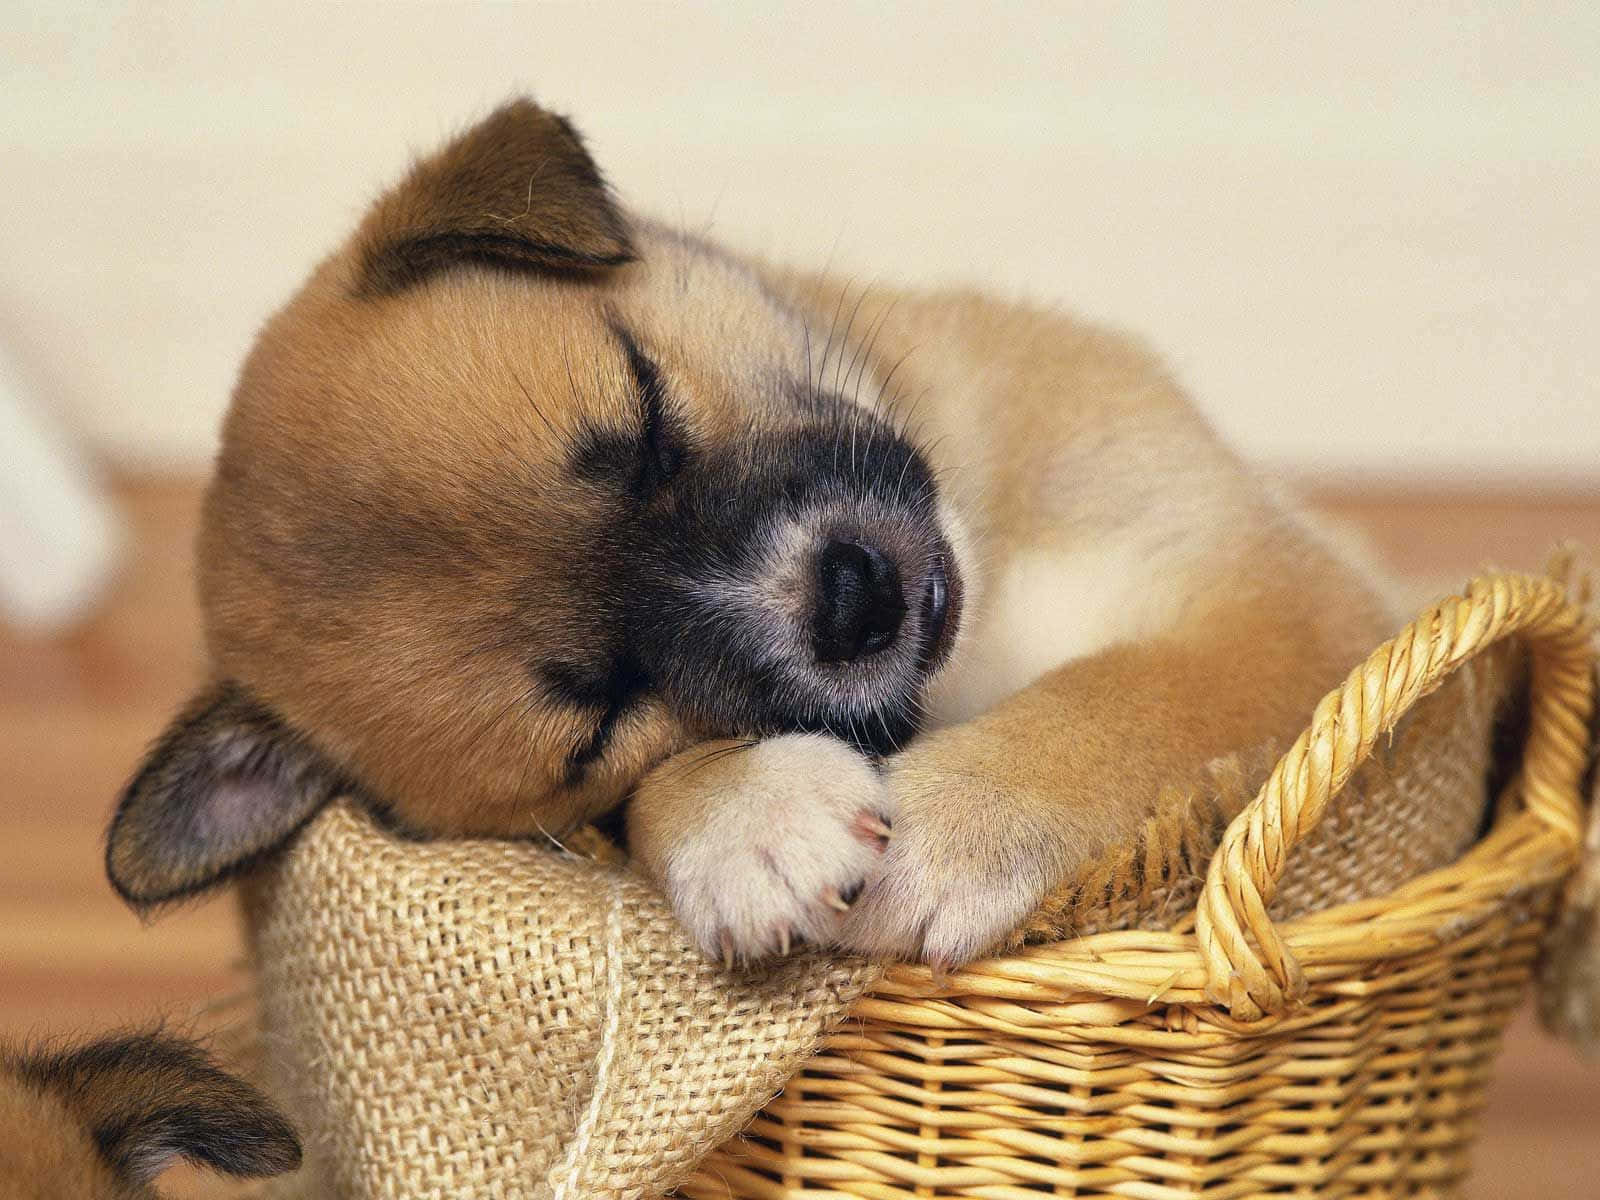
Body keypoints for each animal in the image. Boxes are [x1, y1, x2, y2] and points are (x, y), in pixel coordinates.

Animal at [106, 98, 1395, 972]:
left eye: (645, 412)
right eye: (599, 718)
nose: (854, 603)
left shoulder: (1275, 596)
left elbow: (1124, 697)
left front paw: (957, 825)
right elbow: (655, 800)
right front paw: (742, 818)